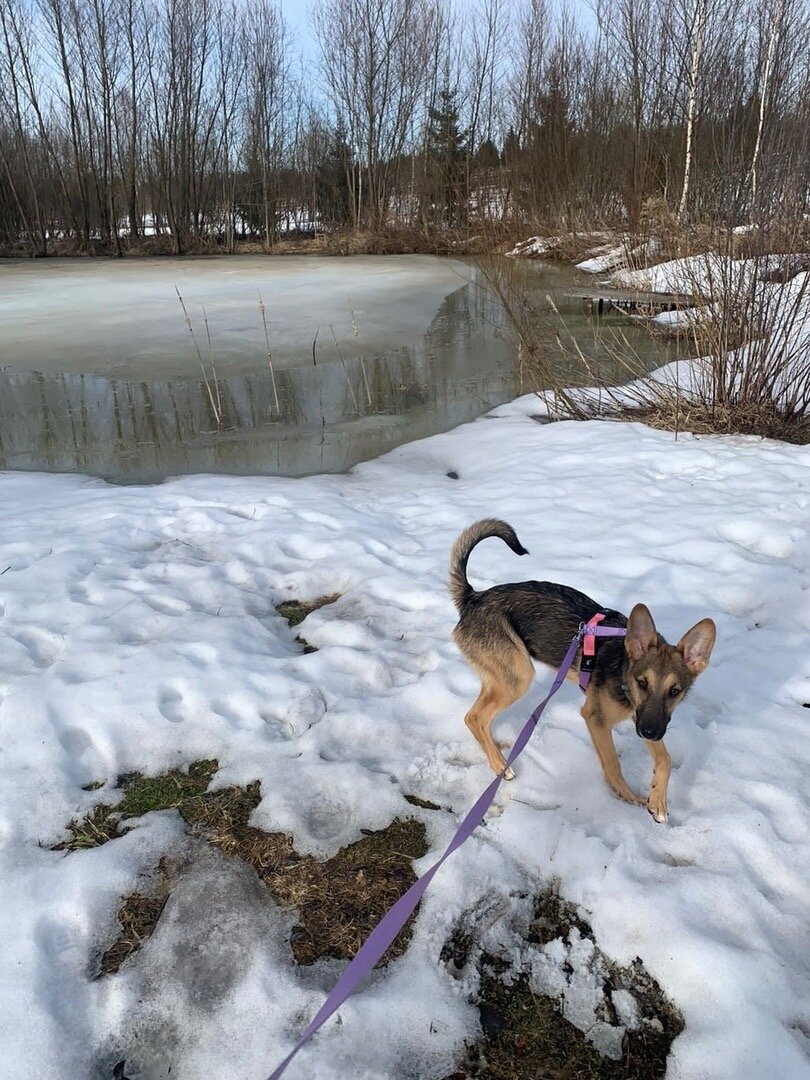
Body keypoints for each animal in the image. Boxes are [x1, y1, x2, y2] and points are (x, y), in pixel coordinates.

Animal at [451, 518, 717, 820]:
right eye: (642, 682)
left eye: (675, 691)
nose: (650, 733)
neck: (623, 672)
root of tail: (473, 597)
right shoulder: (597, 718)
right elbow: (613, 764)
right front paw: (627, 796)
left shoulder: (644, 717)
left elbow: (665, 758)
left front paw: (657, 800)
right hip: (518, 676)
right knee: (474, 717)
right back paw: (500, 766)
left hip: (500, 674)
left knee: (478, 717)